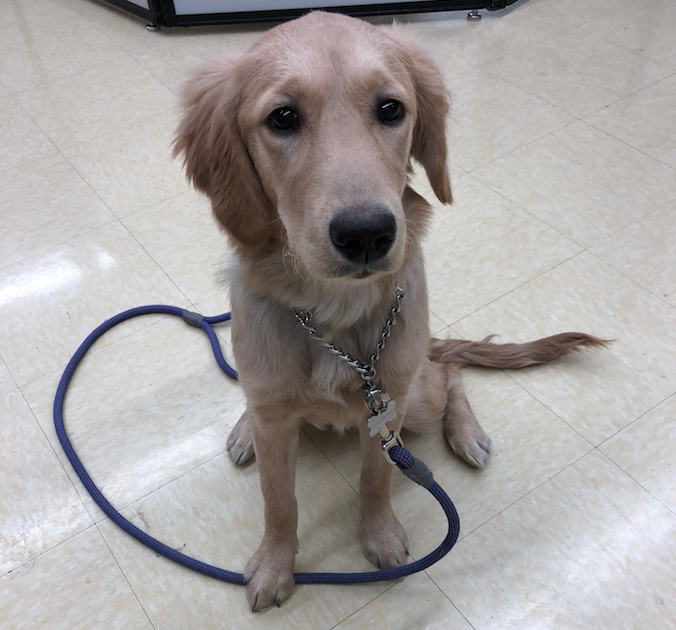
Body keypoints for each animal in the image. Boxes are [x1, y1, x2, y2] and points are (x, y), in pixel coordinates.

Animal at [174, 9, 608, 612]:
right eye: (282, 117)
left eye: (390, 109)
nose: (366, 235)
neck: (332, 312)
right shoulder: (276, 417)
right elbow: (278, 500)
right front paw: (275, 564)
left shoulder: (388, 407)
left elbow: (376, 478)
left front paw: (379, 536)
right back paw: (243, 430)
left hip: (417, 394)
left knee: (448, 371)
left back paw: (467, 433)